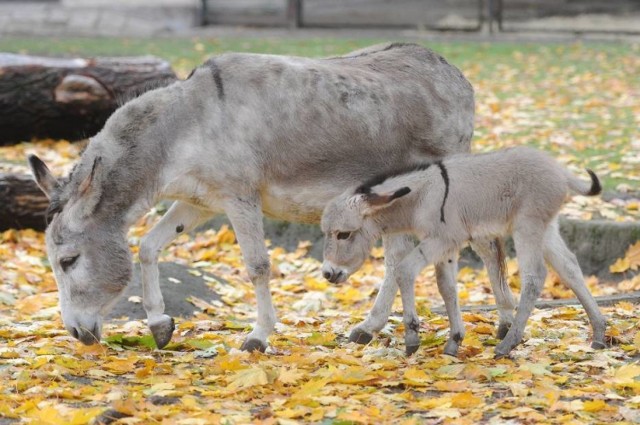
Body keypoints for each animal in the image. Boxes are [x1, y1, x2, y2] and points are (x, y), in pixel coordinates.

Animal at [322, 147, 608, 358]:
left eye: (343, 234)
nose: (328, 273)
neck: (423, 197)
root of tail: (560, 170)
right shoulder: (446, 247)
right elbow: (446, 287)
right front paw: (454, 341)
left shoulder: (440, 240)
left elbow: (404, 271)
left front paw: (412, 337)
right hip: (546, 228)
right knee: (569, 268)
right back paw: (599, 333)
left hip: (527, 227)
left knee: (535, 277)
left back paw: (509, 343)